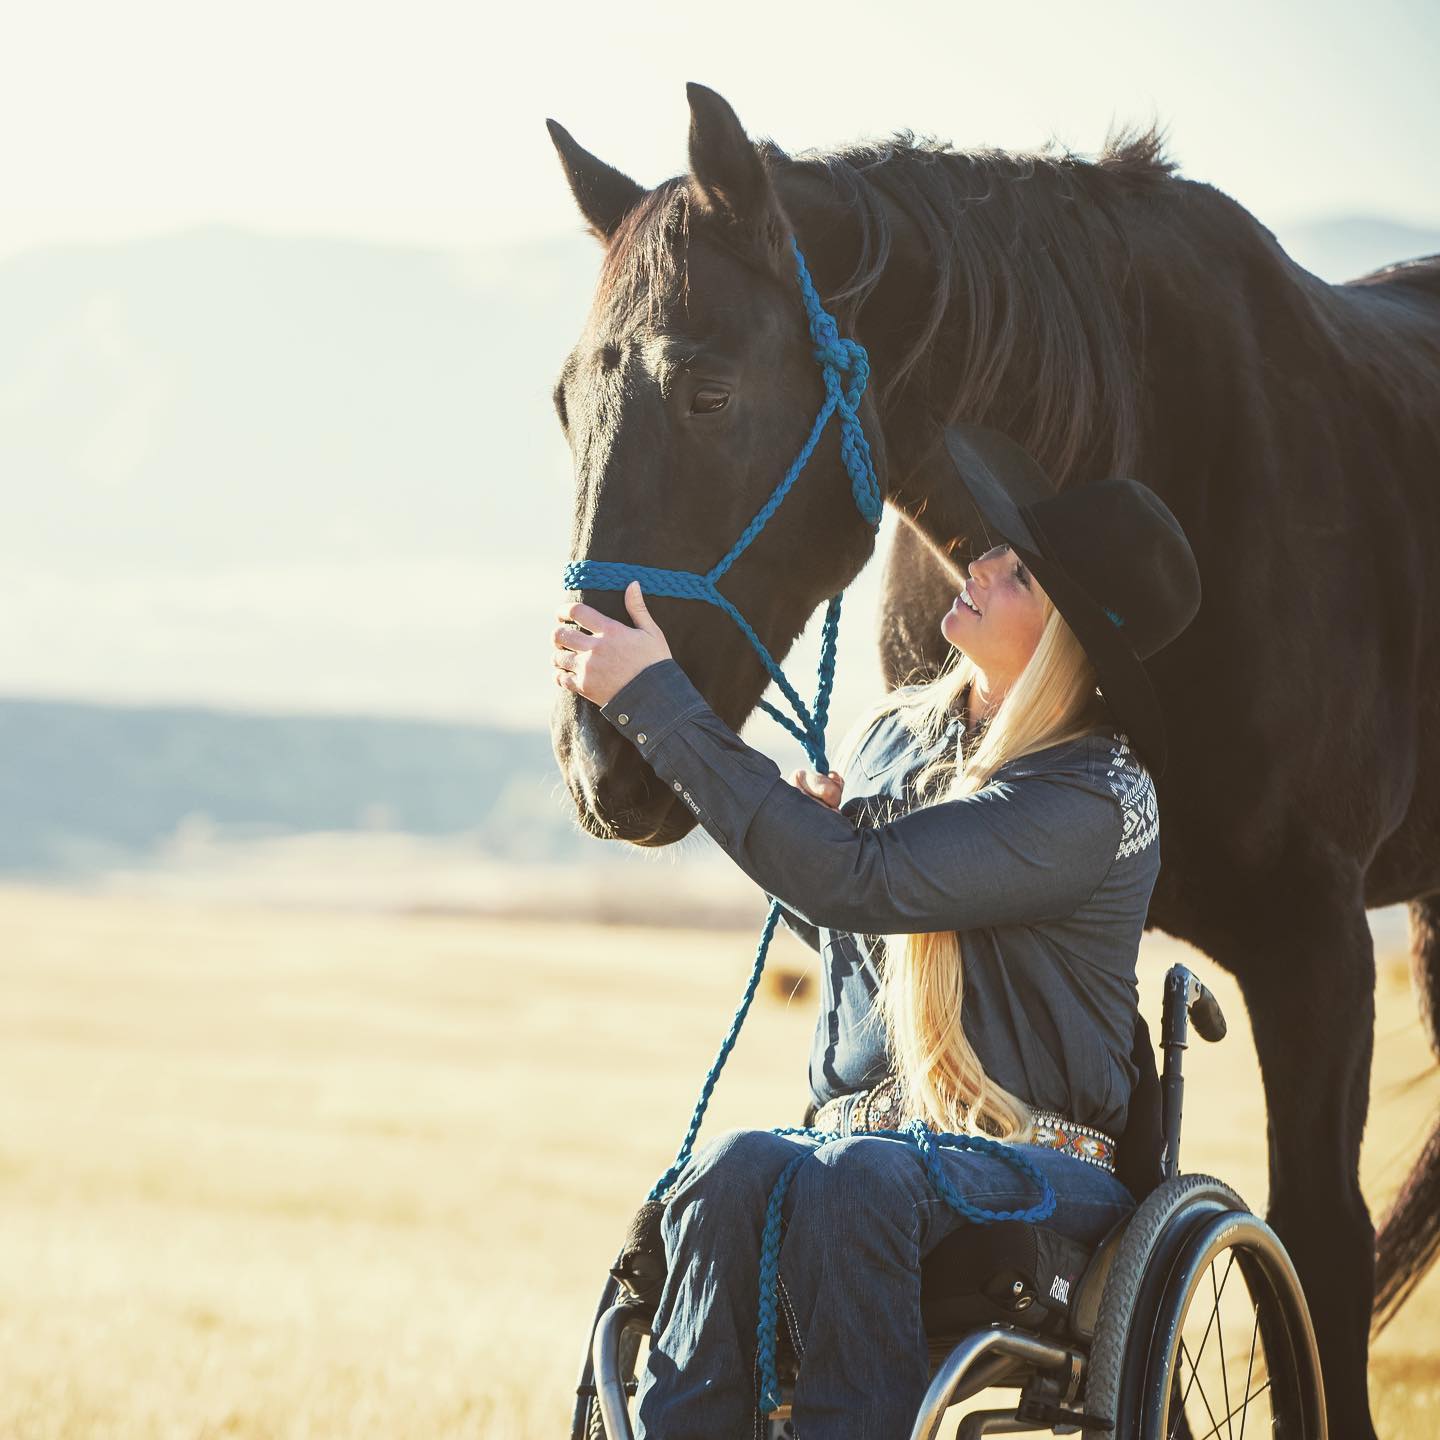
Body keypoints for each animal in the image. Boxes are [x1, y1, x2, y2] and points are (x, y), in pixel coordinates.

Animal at [544, 84, 1440, 1434]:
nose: (602, 764)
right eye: (565, 403)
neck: (1164, 445)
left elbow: (1318, 1253)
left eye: (706, 394)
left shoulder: (1315, 945)